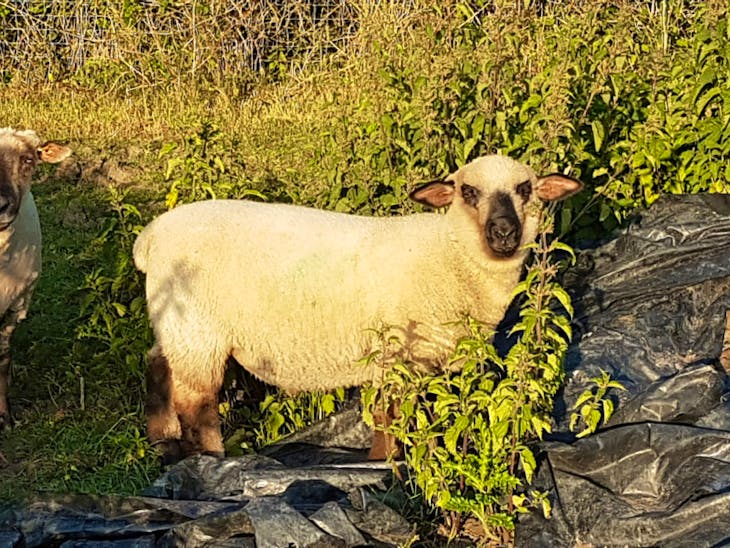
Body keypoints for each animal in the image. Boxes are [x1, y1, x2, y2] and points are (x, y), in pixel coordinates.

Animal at [133, 154, 582, 462]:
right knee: (197, 402)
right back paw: (212, 460)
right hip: (198, 331)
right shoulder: (400, 354)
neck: (449, 255)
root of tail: (151, 237)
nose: (504, 231)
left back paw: (163, 441)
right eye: (468, 192)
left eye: (525, 189)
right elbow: (392, 417)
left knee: (157, 363)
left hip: (175, 326)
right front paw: (387, 466)